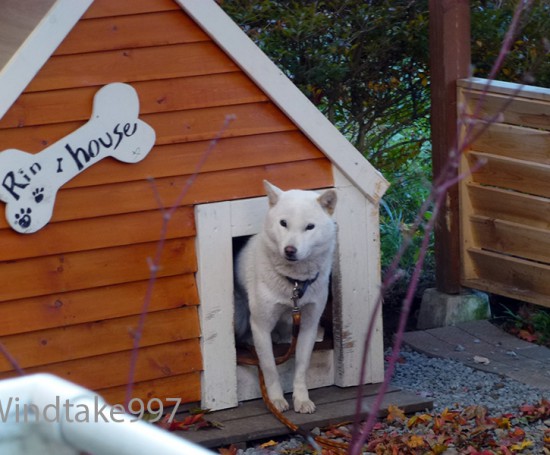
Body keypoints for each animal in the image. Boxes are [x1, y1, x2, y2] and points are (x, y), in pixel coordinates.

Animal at [235, 181, 338, 414]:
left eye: (310, 227)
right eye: (283, 223)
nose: (290, 250)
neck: (295, 284)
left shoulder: (308, 324)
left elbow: (301, 366)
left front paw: (301, 399)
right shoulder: (261, 325)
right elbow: (270, 368)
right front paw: (275, 400)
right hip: (241, 317)